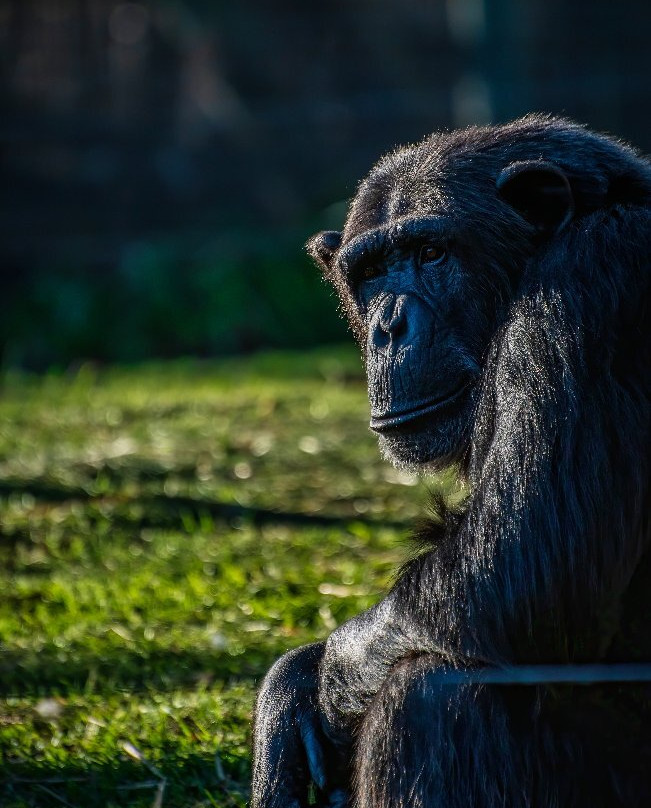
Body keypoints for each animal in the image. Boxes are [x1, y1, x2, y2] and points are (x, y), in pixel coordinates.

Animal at [251, 115, 651, 807]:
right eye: (373, 271)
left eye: (432, 254)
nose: (388, 325)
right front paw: (290, 686)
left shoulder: (587, 284)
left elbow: (519, 568)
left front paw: (319, 678)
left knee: (431, 697)